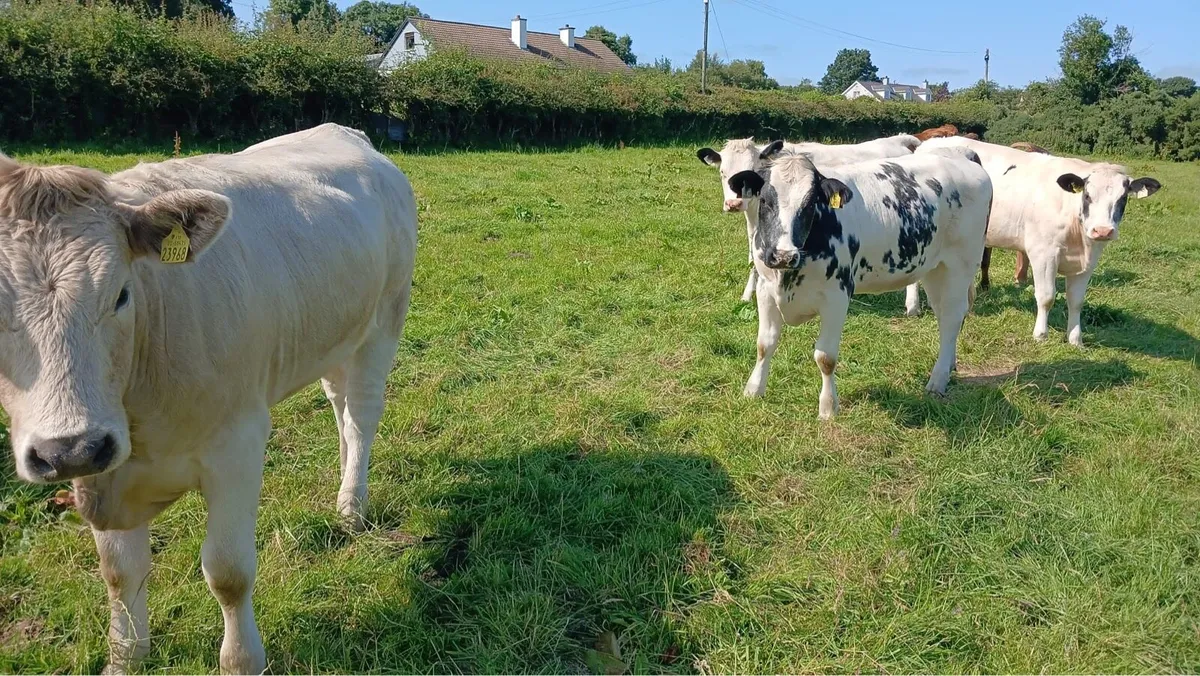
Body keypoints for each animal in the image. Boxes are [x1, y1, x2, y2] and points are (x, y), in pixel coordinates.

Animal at [0, 124, 418, 674]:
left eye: (121, 294)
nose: (69, 449)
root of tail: (346, 132)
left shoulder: (238, 443)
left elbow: (228, 572)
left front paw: (242, 660)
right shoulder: (102, 468)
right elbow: (119, 571)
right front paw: (126, 657)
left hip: (384, 322)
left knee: (362, 417)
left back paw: (352, 506)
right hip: (332, 335)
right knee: (340, 406)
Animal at [727, 148, 991, 419]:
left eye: (810, 204)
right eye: (765, 200)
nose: (783, 255)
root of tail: (962, 157)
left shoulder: (837, 295)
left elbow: (825, 357)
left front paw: (828, 407)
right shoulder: (765, 289)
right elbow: (764, 344)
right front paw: (754, 389)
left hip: (960, 265)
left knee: (952, 317)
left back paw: (937, 380)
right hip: (935, 269)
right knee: (945, 316)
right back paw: (949, 365)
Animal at [917, 136, 1161, 345]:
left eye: (1123, 199)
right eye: (1087, 195)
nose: (1103, 231)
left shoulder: (1088, 261)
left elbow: (1076, 301)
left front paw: (1075, 339)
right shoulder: (1043, 254)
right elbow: (1046, 296)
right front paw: (1041, 334)